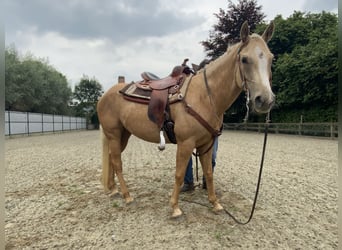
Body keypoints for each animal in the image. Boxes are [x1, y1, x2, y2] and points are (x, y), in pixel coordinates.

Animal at [97, 21, 276, 217]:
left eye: (271, 58)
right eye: (244, 59)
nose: (265, 100)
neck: (204, 95)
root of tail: (105, 95)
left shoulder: (206, 144)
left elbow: (209, 172)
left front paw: (215, 203)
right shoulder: (186, 143)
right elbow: (179, 174)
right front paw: (175, 207)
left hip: (124, 134)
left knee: (112, 159)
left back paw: (114, 189)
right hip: (114, 134)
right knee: (117, 162)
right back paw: (127, 195)